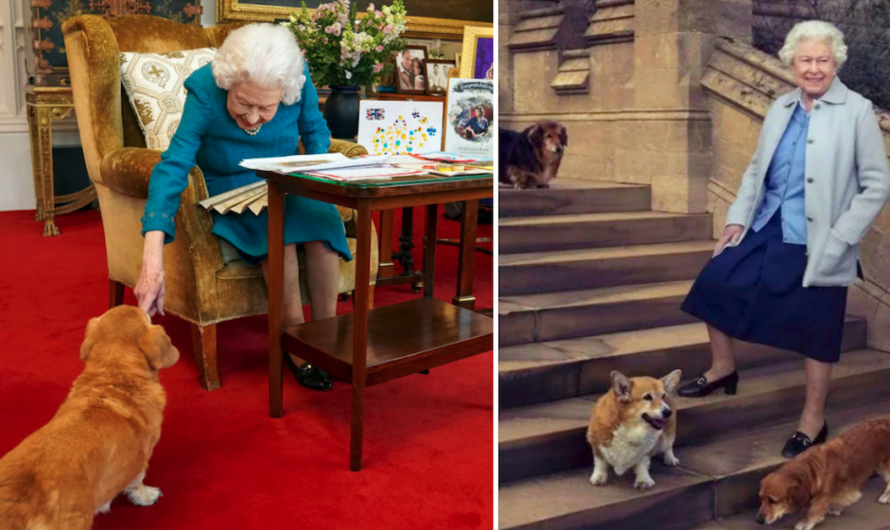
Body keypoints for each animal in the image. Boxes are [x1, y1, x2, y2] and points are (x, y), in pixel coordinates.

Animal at [0, 304, 179, 524]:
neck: (114, 376)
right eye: (146, 316)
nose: (143, 305)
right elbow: (137, 483)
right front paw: (146, 496)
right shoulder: (141, 459)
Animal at [760, 416, 890, 528]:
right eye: (761, 498)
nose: (758, 520)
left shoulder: (825, 495)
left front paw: (806, 522)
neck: (813, 468)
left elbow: (814, 509)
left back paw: (887, 495)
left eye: (773, 501)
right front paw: (836, 507)